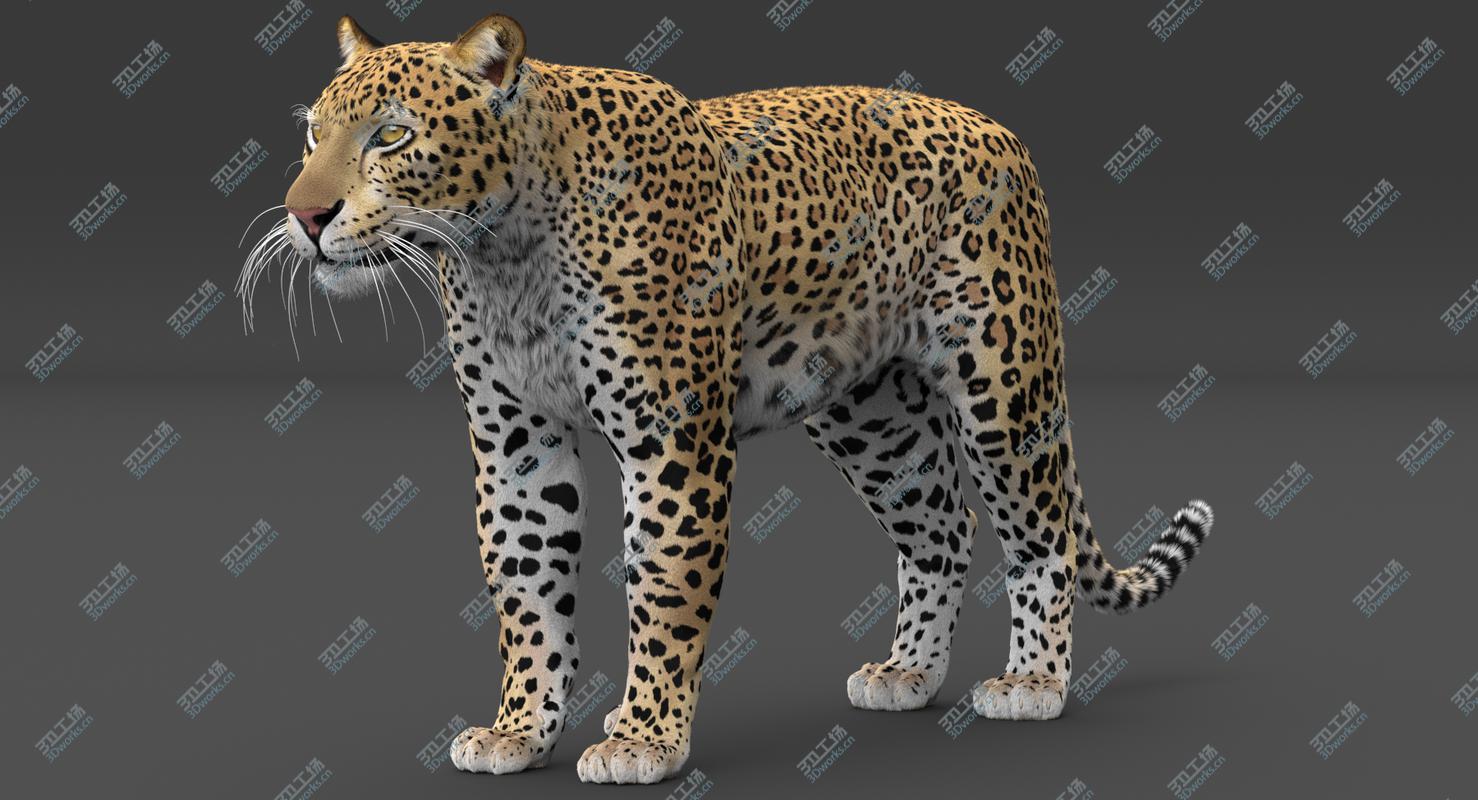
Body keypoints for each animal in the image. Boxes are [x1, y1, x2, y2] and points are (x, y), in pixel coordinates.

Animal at [237, 13, 1215, 785]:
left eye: (390, 137)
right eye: (314, 134)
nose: (305, 216)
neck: (502, 254)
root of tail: (999, 127)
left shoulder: (669, 438)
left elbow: (664, 584)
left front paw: (644, 740)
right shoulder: (514, 441)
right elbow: (526, 586)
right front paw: (521, 730)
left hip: (1003, 385)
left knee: (1039, 532)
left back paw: (1035, 683)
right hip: (868, 414)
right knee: (942, 526)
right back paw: (906, 673)